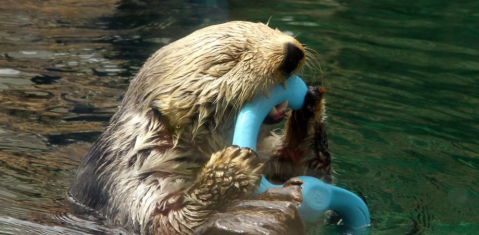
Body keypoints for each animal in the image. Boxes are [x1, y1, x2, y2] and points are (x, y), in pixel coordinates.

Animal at [71, 21, 332, 234]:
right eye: (230, 60)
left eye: (269, 30)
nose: (292, 51)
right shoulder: (128, 183)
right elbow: (168, 222)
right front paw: (232, 166)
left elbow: (308, 168)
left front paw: (311, 105)